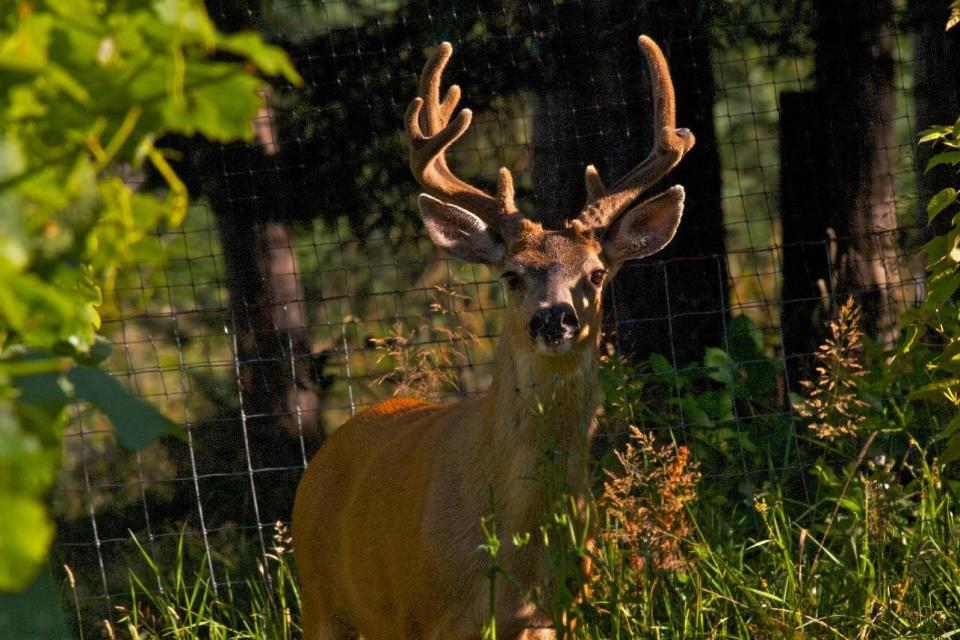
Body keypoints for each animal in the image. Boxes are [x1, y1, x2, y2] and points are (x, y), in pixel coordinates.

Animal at [292, 36, 696, 640]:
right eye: (511, 275)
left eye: (597, 274)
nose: (555, 320)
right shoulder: (423, 615)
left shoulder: (560, 613)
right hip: (322, 602)